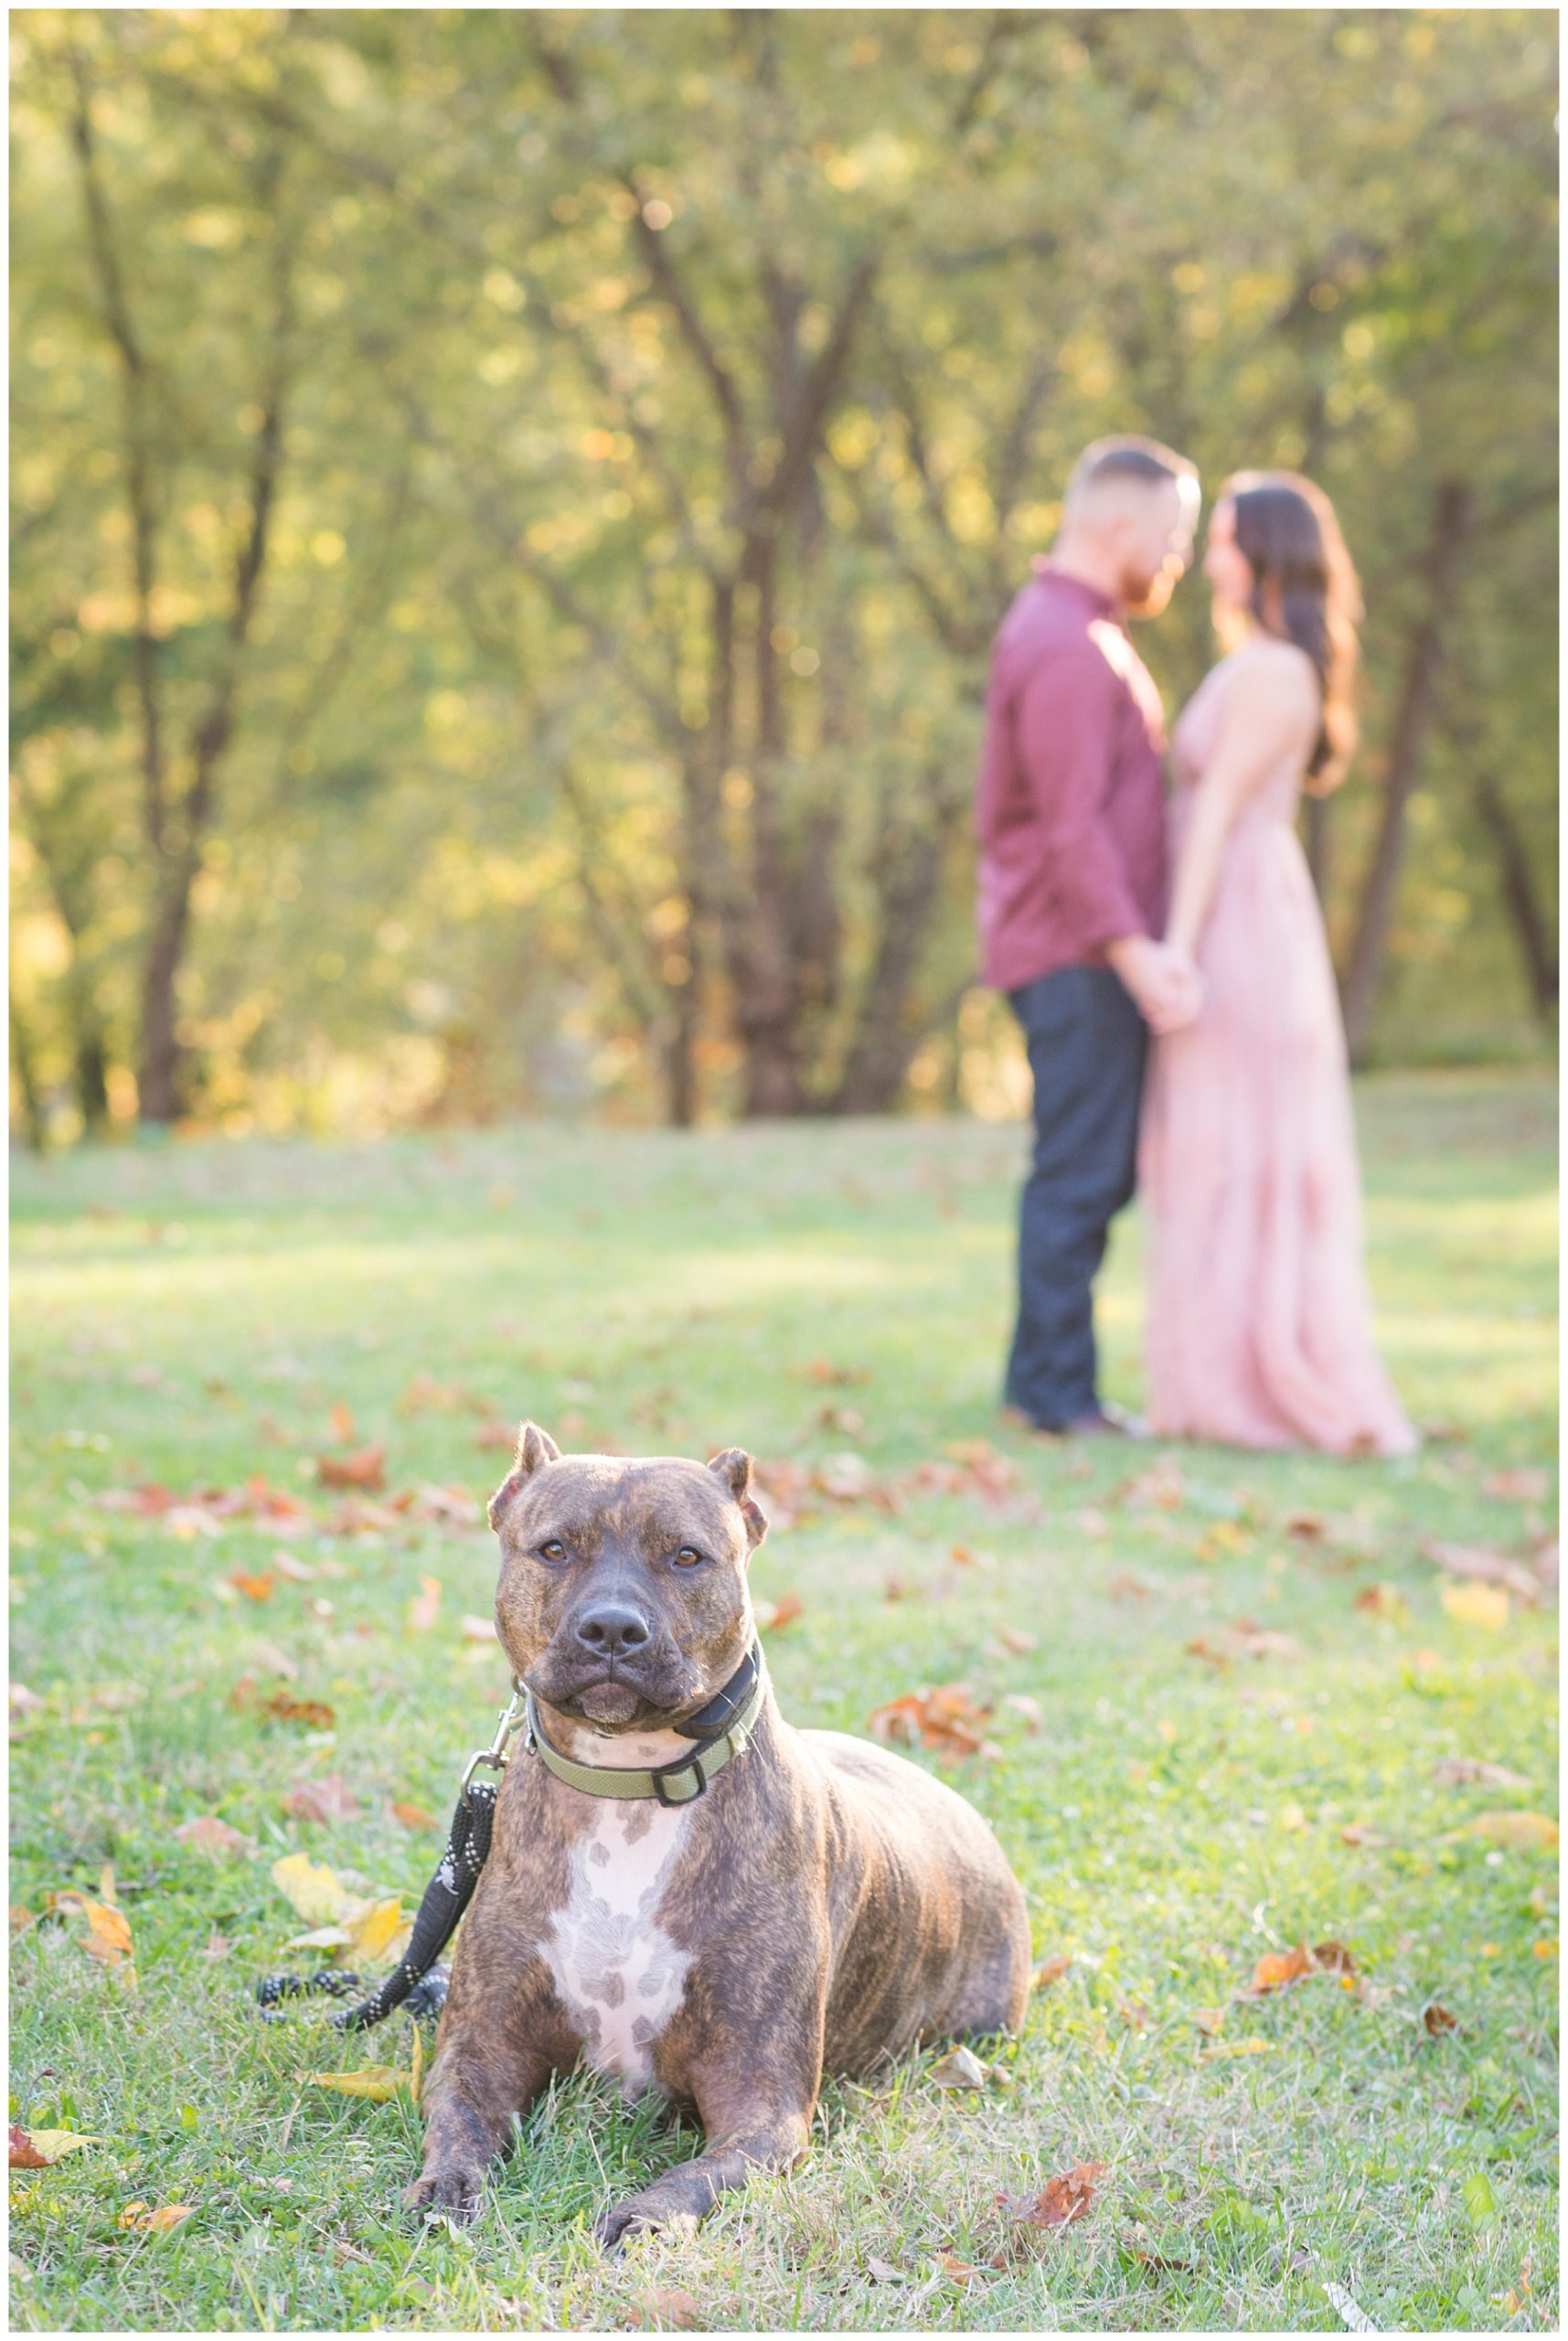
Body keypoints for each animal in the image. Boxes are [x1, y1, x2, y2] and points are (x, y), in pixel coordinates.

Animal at [411, 1414, 1039, 2238]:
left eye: (687, 1555)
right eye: (553, 1549)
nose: (612, 1628)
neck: (631, 1790)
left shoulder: (761, 2103)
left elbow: (699, 2175)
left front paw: (646, 2216)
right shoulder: (480, 2048)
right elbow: (458, 2119)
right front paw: (446, 2186)